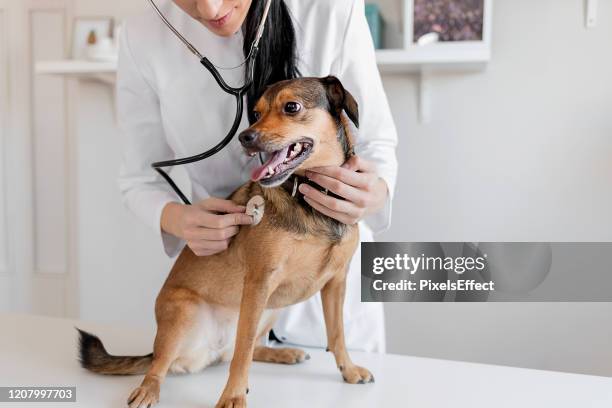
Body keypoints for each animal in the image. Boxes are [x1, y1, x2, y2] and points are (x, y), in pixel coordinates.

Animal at [76, 76, 372, 408]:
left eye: (292, 107)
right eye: (255, 113)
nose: (245, 137)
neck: (308, 197)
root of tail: (211, 351)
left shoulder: (335, 283)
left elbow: (337, 334)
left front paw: (349, 370)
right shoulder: (258, 283)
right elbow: (243, 353)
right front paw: (233, 395)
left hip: (272, 309)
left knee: (248, 348)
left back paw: (283, 352)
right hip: (185, 311)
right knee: (164, 365)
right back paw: (148, 389)